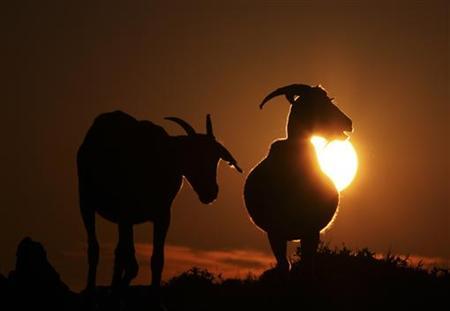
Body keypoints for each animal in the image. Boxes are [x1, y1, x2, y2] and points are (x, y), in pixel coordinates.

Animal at [76, 111, 243, 292]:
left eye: (215, 158)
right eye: (193, 154)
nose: (210, 192)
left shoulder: (162, 216)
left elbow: (156, 259)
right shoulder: (125, 214)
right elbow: (127, 258)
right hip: (87, 204)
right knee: (96, 248)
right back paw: (92, 287)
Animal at [244, 84, 354, 276]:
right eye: (320, 103)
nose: (348, 123)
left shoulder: (311, 230)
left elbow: (307, 264)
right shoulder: (275, 232)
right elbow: (284, 264)